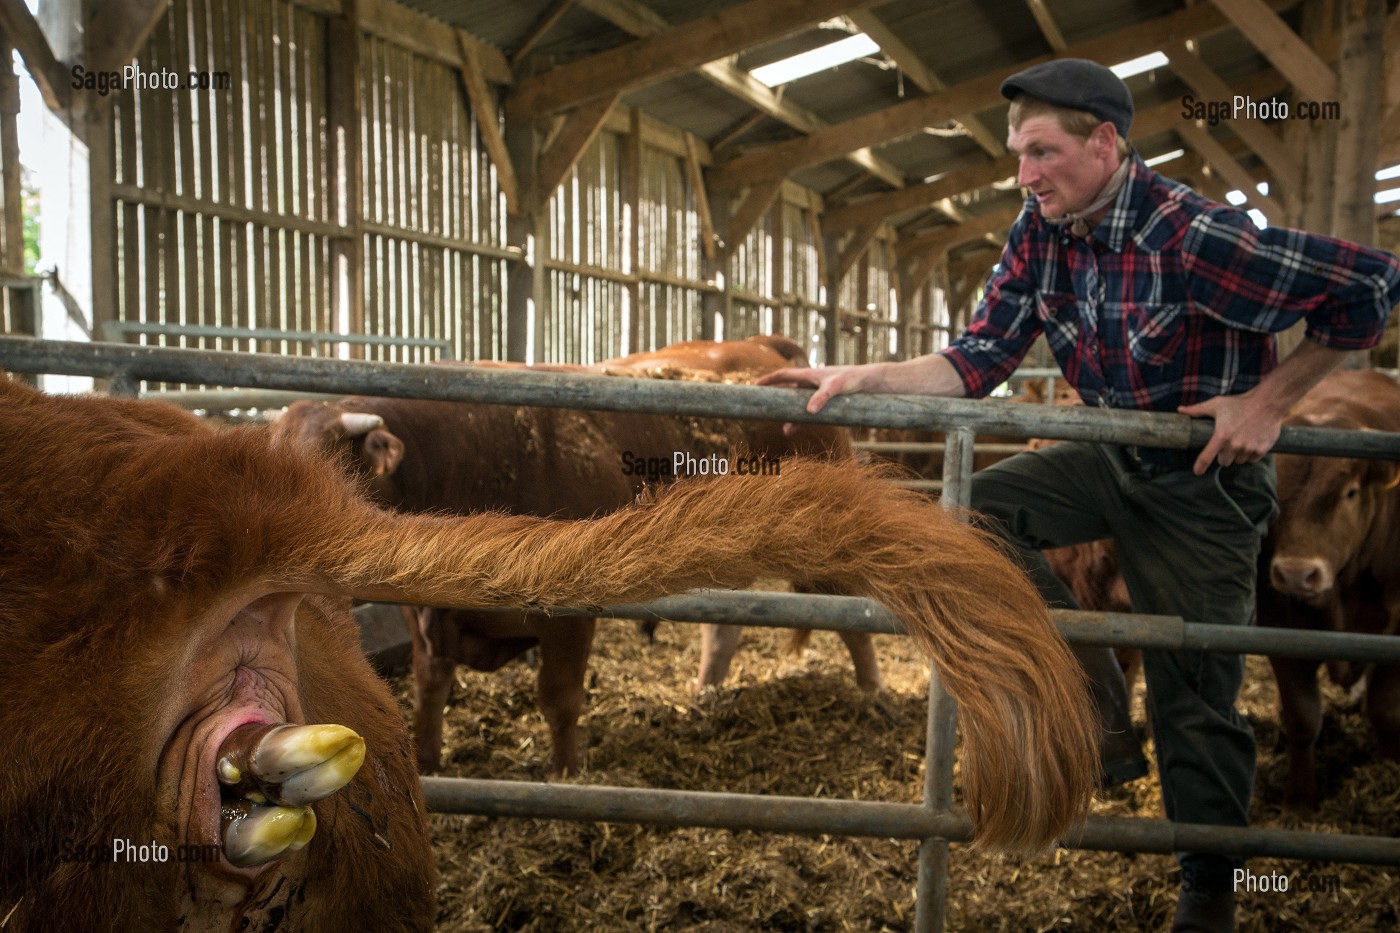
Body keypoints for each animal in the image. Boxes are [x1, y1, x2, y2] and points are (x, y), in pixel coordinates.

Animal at [271, 363, 874, 777]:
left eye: (331, 465)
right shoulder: (424, 615)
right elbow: (429, 688)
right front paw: (428, 761)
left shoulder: (568, 616)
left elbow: (558, 697)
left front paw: (564, 773)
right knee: (724, 633)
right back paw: (705, 696)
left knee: (857, 622)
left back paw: (873, 695)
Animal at [1256, 368, 1400, 810]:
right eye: (1274, 495)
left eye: (1349, 492)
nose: (1296, 574)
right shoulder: (1280, 626)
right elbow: (1303, 717)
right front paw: (1300, 796)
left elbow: (1384, 707)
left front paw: (1389, 763)